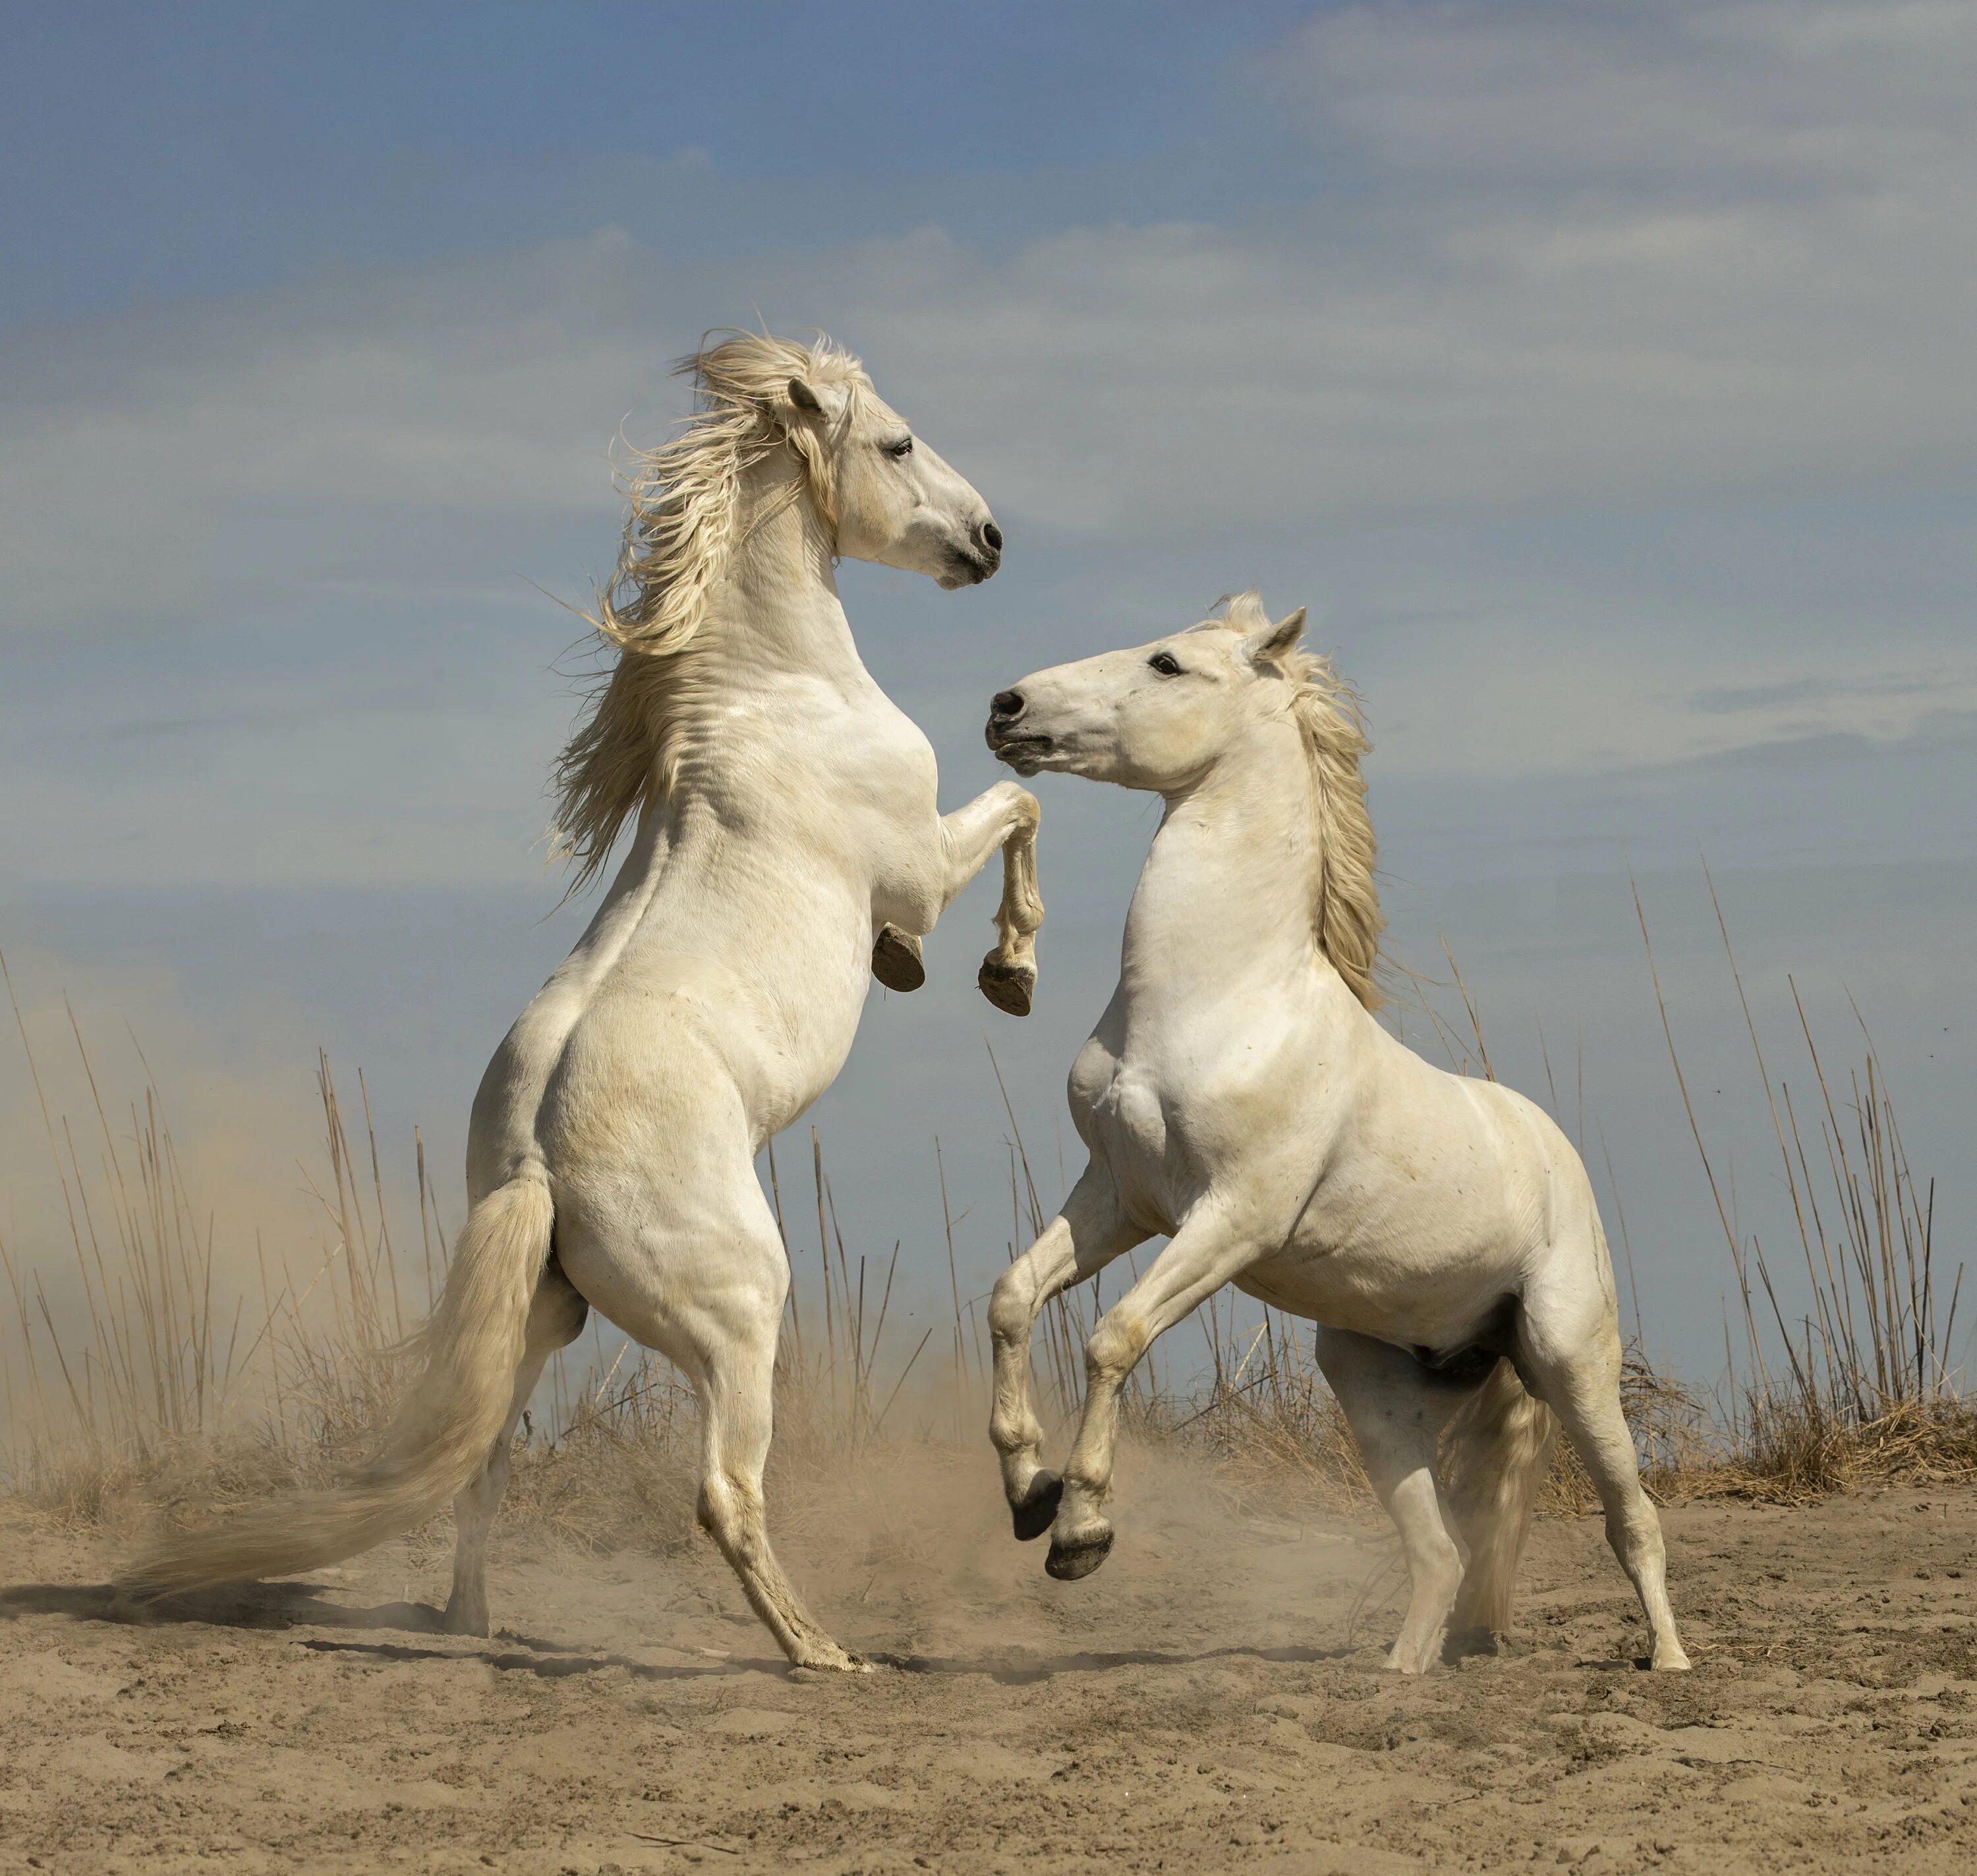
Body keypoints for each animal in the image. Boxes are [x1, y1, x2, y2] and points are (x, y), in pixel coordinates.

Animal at [125, 326, 1044, 1668]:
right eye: (897, 442)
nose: (988, 540)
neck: (777, 697)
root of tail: (537, 1161)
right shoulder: (923, 862)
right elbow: (1021, 812)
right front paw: (1003, 970)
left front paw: (923, 965)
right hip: (741, 1312)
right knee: (724, 1491)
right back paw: (821, 1649)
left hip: (542, 1321)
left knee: (483, 1465)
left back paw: (472, 1622)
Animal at [981, 593, 1692, 1676]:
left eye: (1167, 663)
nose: (1007, 708)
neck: (1213, 1000)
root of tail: (1549, 1148)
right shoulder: (1120, 1198)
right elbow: (1015, 1297)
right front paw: (1027, 1493)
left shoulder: (1231, 1220)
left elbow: (1114, 1336)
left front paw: (1081, 1532)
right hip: (1372, 1385)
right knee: (1442, 1549)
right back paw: (1404, 1671)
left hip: (1571, 1357)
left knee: (1633, 1517)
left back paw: (1670, 1661)